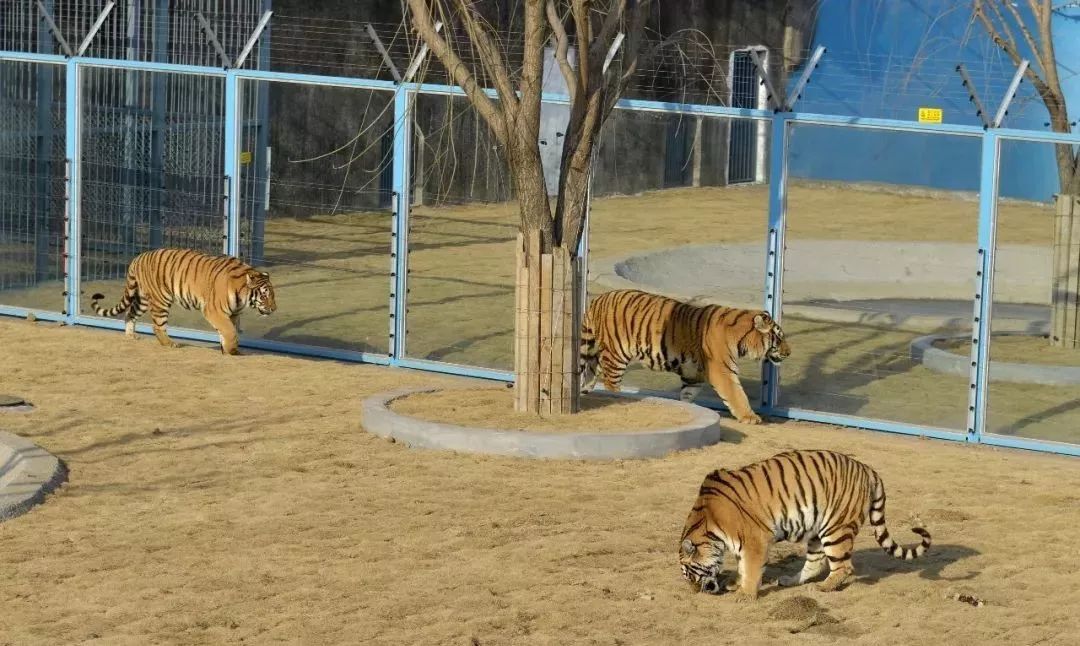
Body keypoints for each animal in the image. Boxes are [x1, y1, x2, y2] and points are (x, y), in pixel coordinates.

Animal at [90, 249, 276, 358]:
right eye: (264, 295)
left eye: (273, 295)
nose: (274, 309)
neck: (241, 294)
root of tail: (139, 257)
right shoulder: (214, 310)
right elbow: (230, 331)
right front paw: (231, 350)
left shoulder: (232, 314)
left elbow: (226, 331)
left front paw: (228, 350)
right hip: (161, 300)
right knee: (157, 326)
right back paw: (170, 343)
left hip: (142, 299)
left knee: (129, 314)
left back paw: (131, 336)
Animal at [578, 289, 790, 425]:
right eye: (779, 338)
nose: (789, 352)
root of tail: (598, 300)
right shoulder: (722, 370)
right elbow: (737, 394)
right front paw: (750, 417)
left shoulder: (693, 375)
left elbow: (687, 395)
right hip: (616, 356)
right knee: (610, 383)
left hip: (597, 356)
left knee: (589, 375)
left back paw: (584, 392)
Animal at [678, 451, 933, 600]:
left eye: (689, 574)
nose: (697, 593)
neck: (709, 525)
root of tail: (868, 469)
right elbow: (742, 567)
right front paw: (735, 584)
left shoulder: (754, 541)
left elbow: (750, 569)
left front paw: (744, 594)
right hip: (818, 532)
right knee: (815, 564)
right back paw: (789, 581)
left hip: (836, 529)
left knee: (843, 566)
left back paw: (822, 589)